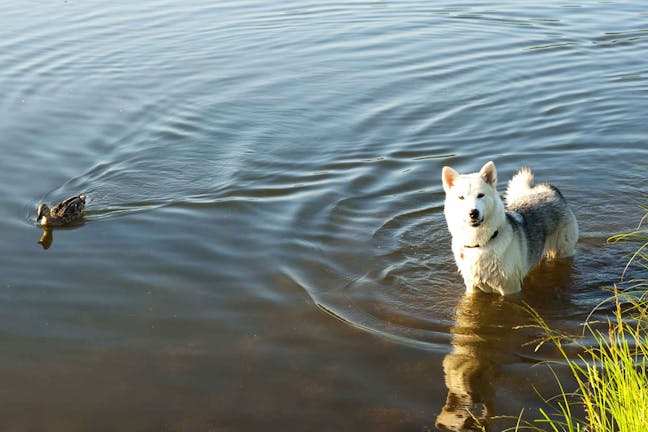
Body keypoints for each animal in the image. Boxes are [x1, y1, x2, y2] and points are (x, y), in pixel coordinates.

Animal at [440, 160, 576, 296]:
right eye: (461, 197)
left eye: (480, 195)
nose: (473, 213)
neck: (480, 244)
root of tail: (550, 189)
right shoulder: (472, 287)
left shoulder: (510, 288)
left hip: (563, 252)